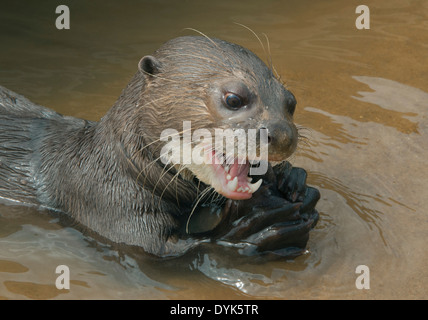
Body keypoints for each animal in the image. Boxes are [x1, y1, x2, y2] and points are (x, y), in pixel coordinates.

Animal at [0, 36, 320, 258]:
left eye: (291, 102)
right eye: (233, 99)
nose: (282, 134)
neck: (119, 168)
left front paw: (293, 179)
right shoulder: (109, 202)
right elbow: (164, 248)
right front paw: (253, 229)